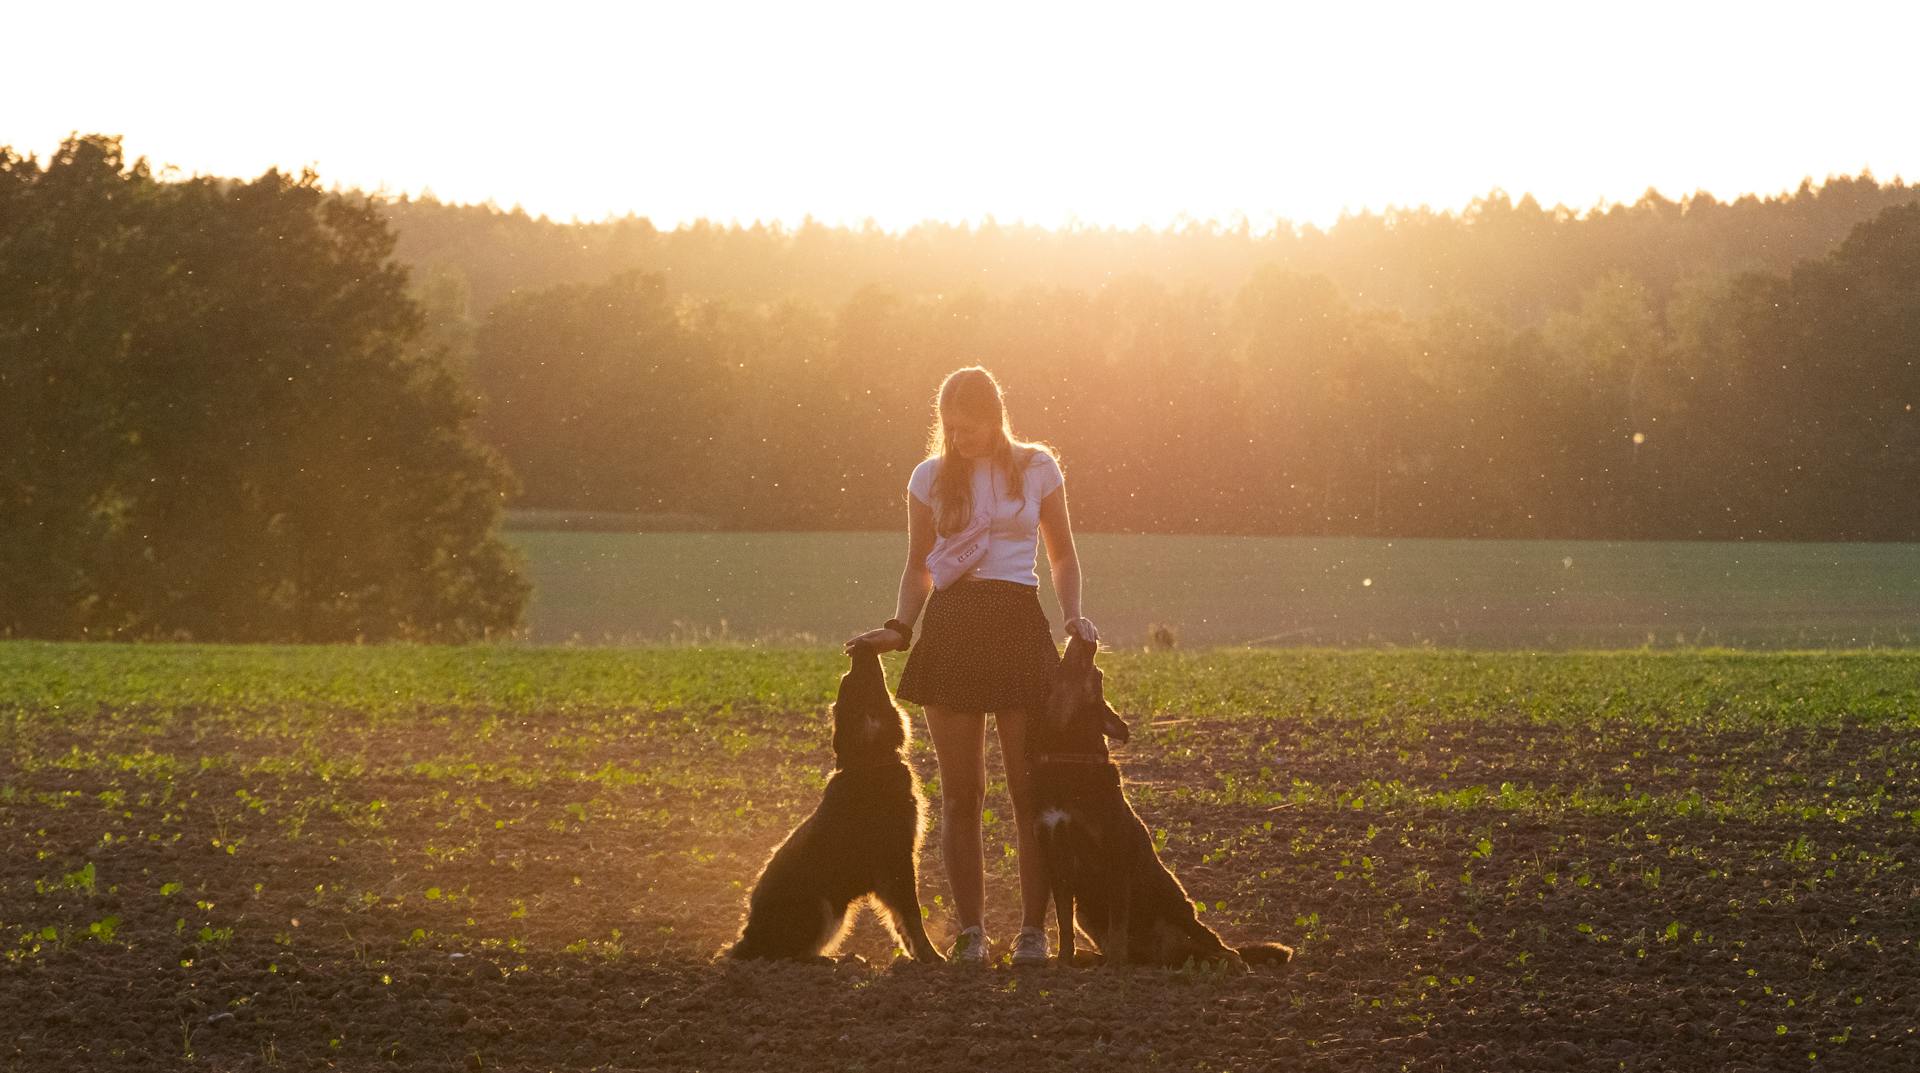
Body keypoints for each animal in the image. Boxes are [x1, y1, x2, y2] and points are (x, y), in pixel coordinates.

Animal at [721, 637, 944, 967]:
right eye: (857, 680)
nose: (859, 645)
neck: (869, 761)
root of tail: (748, 940)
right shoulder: (896, 862)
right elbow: (910, 916)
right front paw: (931, 957)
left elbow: (902, 923)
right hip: (823, 905)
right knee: (787, 956)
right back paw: (832, 960)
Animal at [1036, 629, 1290, 975]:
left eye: (1097, 674)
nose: (1090, 638)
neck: (1071, 757)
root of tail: (1161, 954)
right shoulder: (1058, 860)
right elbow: (1063, 925)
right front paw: (1064, 962)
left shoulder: (1116, 855)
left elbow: (1118, 922)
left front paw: (1113, 968)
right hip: (1086, 914)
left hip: (1177, 908)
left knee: (1223, 948)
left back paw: (1227, 963)